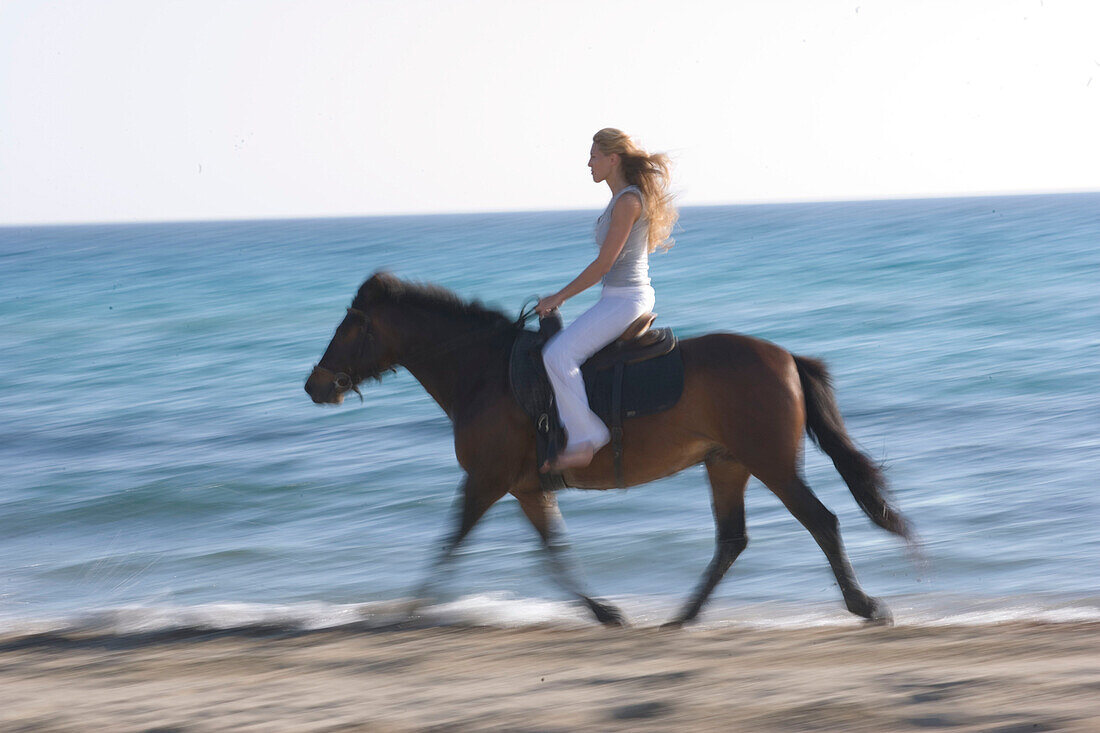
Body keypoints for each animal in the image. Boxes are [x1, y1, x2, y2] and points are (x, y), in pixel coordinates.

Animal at [308, 270, 910, 625]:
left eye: (349, 326)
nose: (315, 385)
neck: (484, 374)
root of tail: (786, 357)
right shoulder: (525, 488)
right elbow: (554, 551)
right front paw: (603, 611)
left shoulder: (486, 480)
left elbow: (450, 543)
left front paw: (407, 610)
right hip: (728, 464)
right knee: (732, 541)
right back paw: (683, 616)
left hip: (771, 463)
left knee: (820, 521)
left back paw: (864, 605)